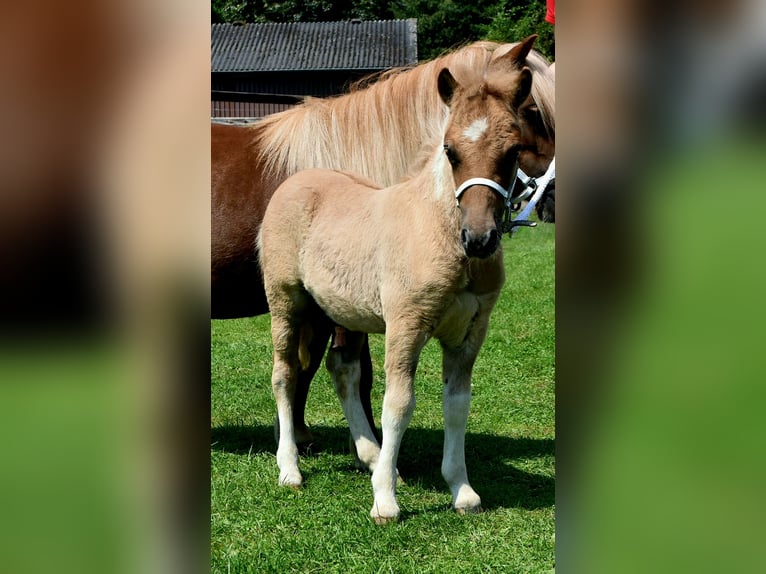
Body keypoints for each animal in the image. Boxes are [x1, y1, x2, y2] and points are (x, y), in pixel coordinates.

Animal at [213, 35, 556, 450]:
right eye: (535, 111)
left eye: (513, 145)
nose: (557, 195)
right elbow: (351, 373)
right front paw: (368, 451)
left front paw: (308, 436)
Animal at [260, 40, 536, 528]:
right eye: (450, 150)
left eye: (513, 151)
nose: (479, 239)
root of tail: (296, 181)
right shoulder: (405, 326)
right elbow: (399, 404)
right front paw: (385, 501)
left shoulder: (469, 334)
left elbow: (457, 404)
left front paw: (462, 490)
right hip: (286, 302)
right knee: (285, 373)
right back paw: (289, 468)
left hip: (337, 310)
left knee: (341, 370)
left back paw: (366, 455)